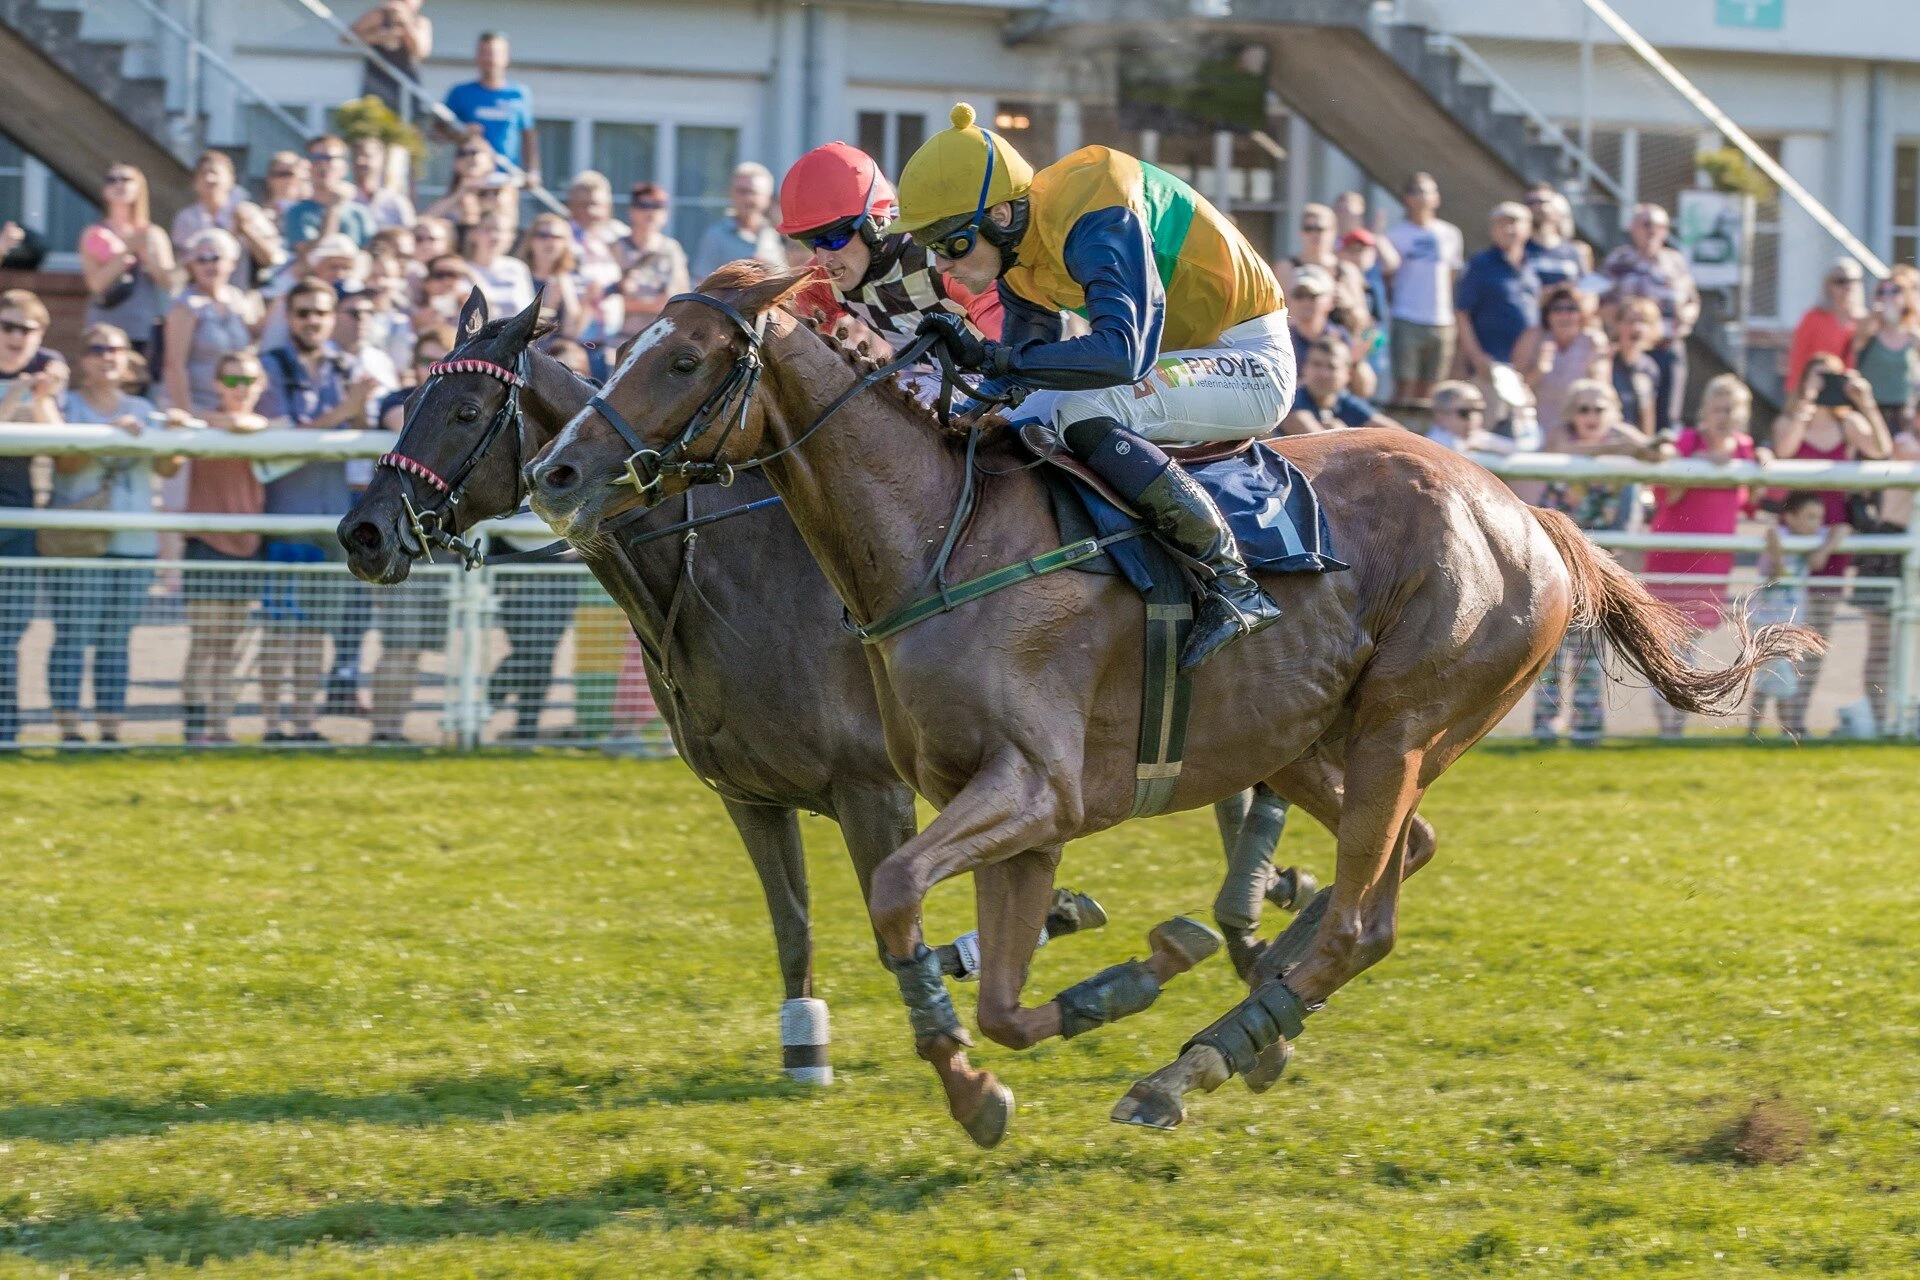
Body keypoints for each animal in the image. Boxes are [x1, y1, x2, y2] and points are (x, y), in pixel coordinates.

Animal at [337, 293, 1313, 1090]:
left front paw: (1040, 933)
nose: (363, 533)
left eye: (466, 411)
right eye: (407, 403)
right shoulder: (749, 795)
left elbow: (901, 926)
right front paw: (806, 1044)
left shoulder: (875, 787)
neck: (721, 576)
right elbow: (796, 926)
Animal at [526, 264, 1812, 1143]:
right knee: (1393, 866)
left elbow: (894, 894)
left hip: (1402, 723)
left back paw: (1202, 1054)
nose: (557, 471)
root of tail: (1529, 511)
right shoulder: (1005, 814)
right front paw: (1074, 1015)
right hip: (1302, 737)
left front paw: (1004, 1055)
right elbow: (1002, 997)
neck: (935, 540)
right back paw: (1247, 1010)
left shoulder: (1027, 786)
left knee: (1362, 919)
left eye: (683, 359)